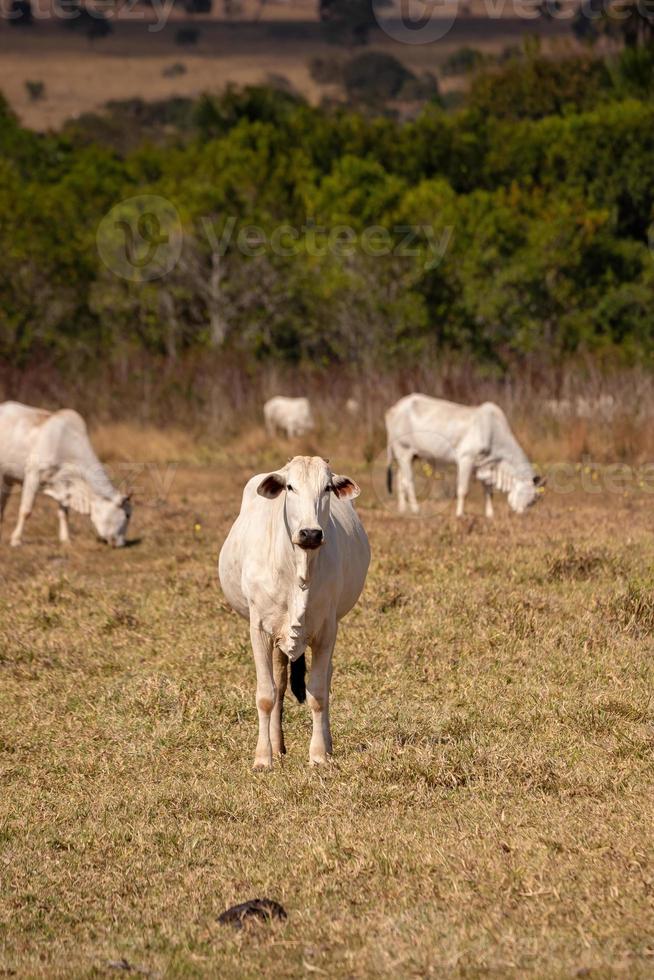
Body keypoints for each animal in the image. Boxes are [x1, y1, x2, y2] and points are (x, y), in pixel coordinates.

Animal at [0, 402, 132, 548]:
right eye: (127, 515)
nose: (121, 543)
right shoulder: (33, 476)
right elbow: (26, 511)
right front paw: (16, 540)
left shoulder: (64, 484)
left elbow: (63, 513)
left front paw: (65, 540)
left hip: (7, 477)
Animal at [220, 456, 372, 768]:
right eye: (290, 487)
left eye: (327, 487)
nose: (311, 533)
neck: (299, 569)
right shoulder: (260, 630)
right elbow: (266, 694)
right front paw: (263, 757)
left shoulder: (327, 630)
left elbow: (318, 693)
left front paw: (318, 754)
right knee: (279, 685)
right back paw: (277, 745)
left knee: (323, 679)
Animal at [386, 394, 544, 520]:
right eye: (533, 499)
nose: (522, 514)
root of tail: (393, 410)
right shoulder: (466, 459)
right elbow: (463, 490)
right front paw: (460, 514)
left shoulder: (485, 465)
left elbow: (488, 491)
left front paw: (490, 514)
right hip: (403, 450)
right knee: (408, 481)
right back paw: (415, 509)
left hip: (411, 455)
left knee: (400, 478)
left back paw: (402, 509)